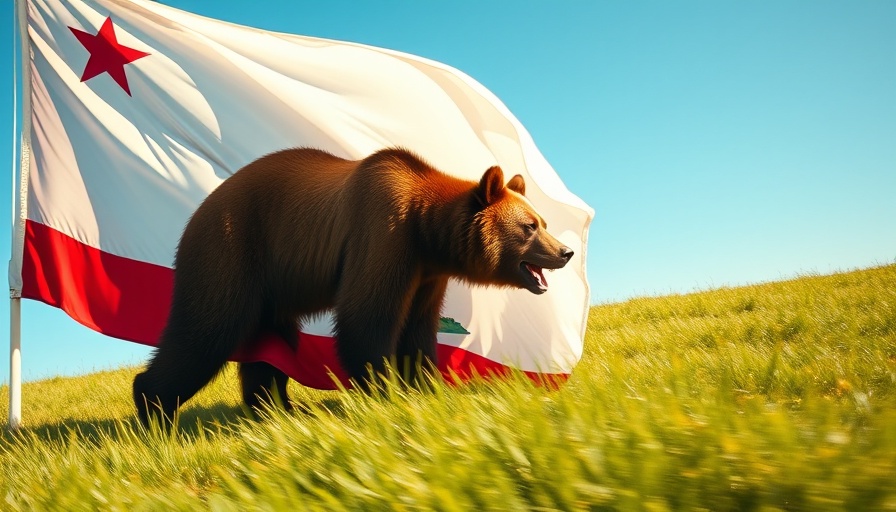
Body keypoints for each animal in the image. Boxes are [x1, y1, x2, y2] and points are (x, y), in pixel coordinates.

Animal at [135, 147, 576, 424]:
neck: (426, 231)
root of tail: (197, 213)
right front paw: (385, 390)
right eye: (530, 226)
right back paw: (153, 408)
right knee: (207, 329)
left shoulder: (426, 277)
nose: (566, 251)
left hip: (270, 286)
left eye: (543, 222)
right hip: (230, 250)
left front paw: (426, 385)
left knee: (268, 345)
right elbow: (367, 318)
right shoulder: (383, 234)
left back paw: (274, 409)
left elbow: (418, 330)